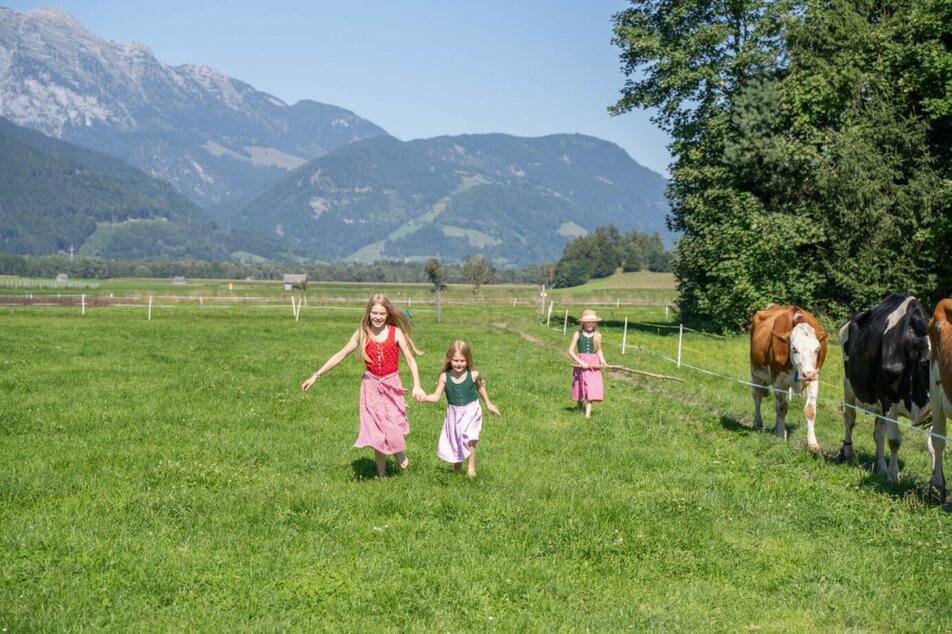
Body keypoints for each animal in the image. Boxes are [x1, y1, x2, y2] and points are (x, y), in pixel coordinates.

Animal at [752, 302, 824, 446]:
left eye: (817, 349)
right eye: (794, 349)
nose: (807, 374)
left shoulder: (815, 377)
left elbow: (810, 410)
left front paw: (812, 443)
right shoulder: (778, 380)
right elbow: (781, 407)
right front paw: (781, 435)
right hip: (755, 372)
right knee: (757, 396)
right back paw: (758, 422)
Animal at [840, 294, 928, 482]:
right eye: (925, 361)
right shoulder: (888, 401)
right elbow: (895, 440)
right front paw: (894, 475)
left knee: (878, 433)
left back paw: (880, 466)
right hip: (849, 385)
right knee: (850, 419)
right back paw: (847, 452)